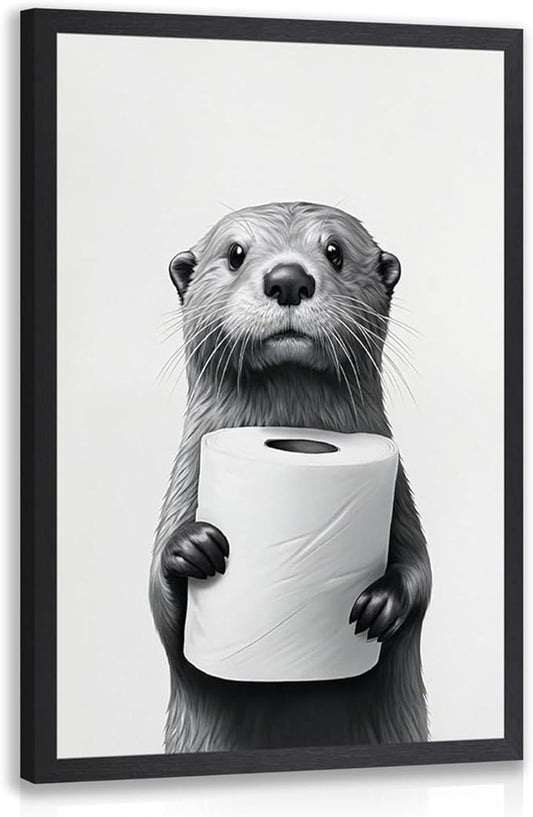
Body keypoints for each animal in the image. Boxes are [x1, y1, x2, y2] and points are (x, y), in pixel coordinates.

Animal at [150, 202, 431, 753]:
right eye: (236, 252)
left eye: (335, 251)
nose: (288, 279)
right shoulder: (184, 485)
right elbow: (160, 605)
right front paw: (191, 548)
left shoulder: (400, 498)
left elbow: (422, 573)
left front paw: (382, 604)